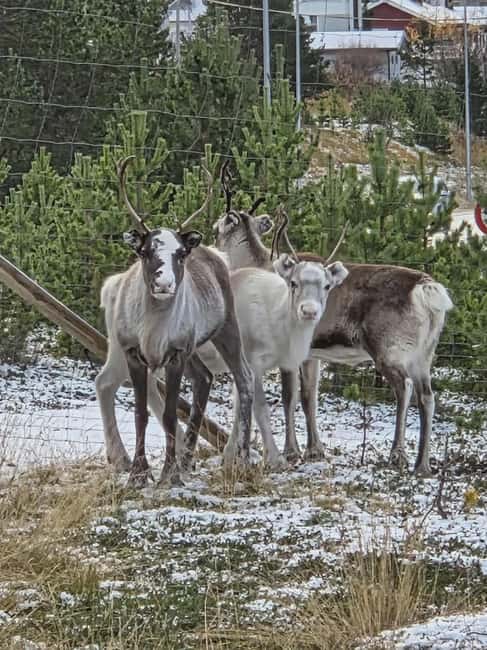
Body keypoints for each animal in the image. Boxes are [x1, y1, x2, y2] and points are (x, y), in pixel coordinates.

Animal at [95, 156, 254, 487]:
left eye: (180, 254)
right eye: (145, 251)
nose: (164, 284)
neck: (152, 329)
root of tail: (213, 252)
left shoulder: (176, 353)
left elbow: (169, 413)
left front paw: (168, 474)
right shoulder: (133, 351)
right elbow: (141, 413)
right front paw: (139, 473)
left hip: (225, 328)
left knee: (244, 378)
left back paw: (240, 459)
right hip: (179, 348)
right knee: (203, 378)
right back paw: (185, 459)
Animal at [212, 166, 454, 477]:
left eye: (220, 226)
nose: (212, 241)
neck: (259, 264)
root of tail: (426, 289)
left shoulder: (292, 351)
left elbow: (289, 397)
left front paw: (292, 450)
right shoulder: (312, 354)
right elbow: (308, 397)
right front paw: (314, 449)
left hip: (390, 350)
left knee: (405, 389)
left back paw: (397, 455)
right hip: (425, 355)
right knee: (427, 396)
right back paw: (422, 464)